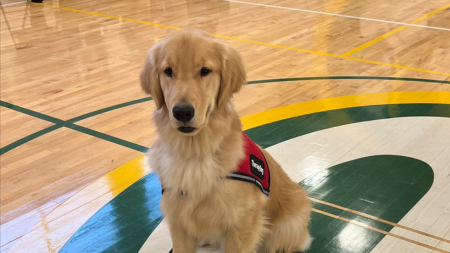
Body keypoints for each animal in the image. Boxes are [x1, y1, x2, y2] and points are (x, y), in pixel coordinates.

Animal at [142, 28, 312, 252]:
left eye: (205, 71)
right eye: (168, 71)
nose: (182, 112)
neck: (195, 152)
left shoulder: (243, 222)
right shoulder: (178, 220)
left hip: (286, 226)